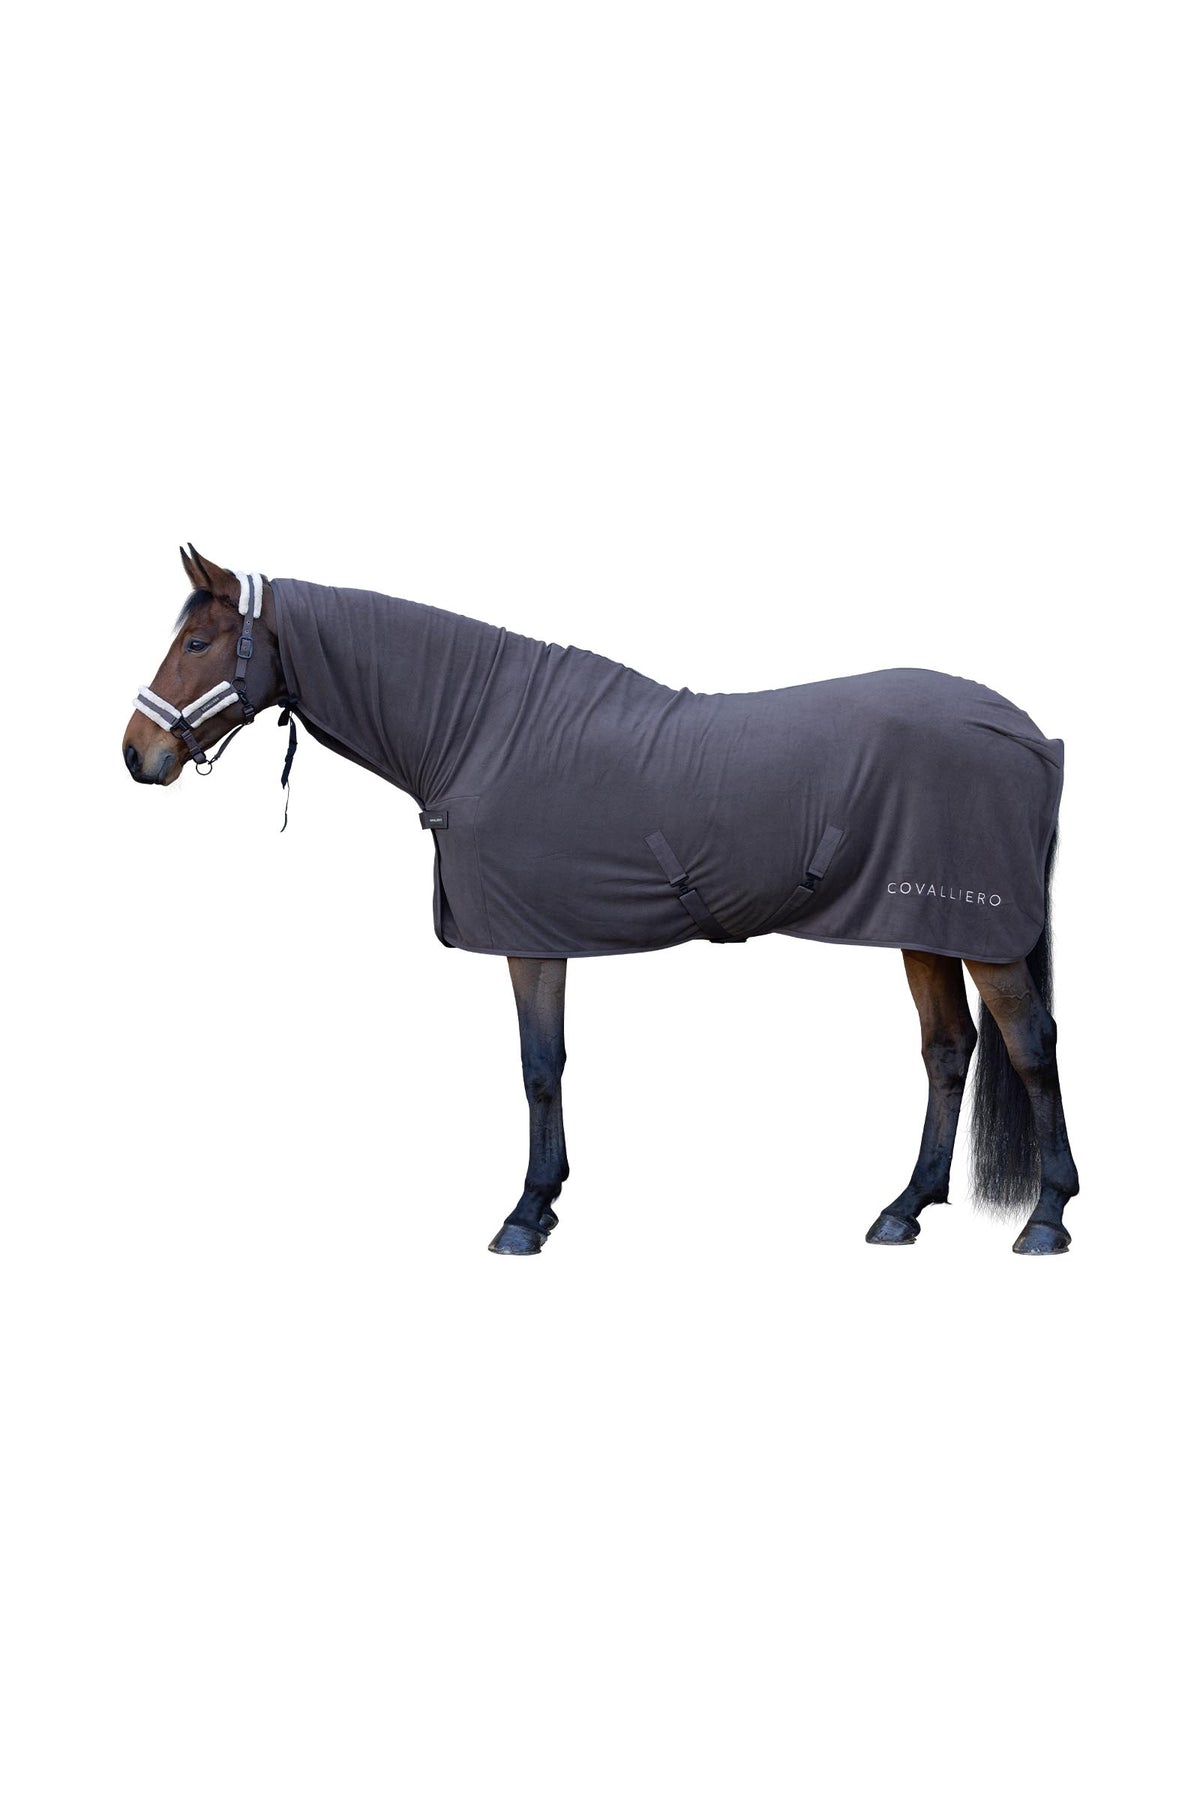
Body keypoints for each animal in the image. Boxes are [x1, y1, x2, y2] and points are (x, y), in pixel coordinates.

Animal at [123, 546, 1079, 1257]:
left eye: (199, 644)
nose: (137, 754)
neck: (481, 731)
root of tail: (1032, 733)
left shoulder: (530, 937)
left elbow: (538, 1068)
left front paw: (525, 1214)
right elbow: (547, 1066)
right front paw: (544, 1203)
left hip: (981, 932)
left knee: (1030, 1047)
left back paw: (1046, 1219)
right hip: (922, 924)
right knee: (948, 1051)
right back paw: (904, 1208)